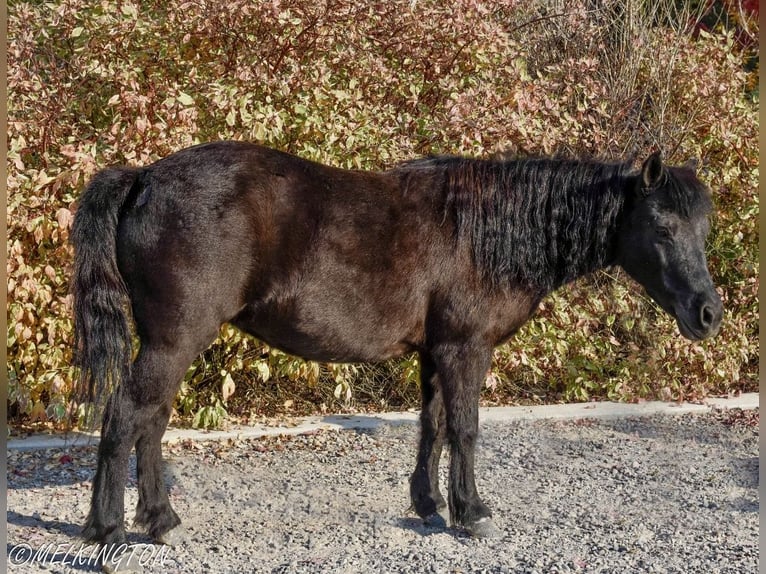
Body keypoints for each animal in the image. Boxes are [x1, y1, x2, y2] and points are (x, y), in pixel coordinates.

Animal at [69, 142, 724, 552]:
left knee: (150, 423)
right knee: (126, 417)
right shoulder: (465, 348)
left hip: (170, 344)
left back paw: (159, 520)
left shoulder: (435, 352)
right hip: (173, 341)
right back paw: (108, 531)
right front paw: (472, 512)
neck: (484, 232)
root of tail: (143, 178)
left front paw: (430, 504)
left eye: (704, 229)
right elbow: (465, 429)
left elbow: (432, 425)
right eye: (661, 227)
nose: (708, 313)